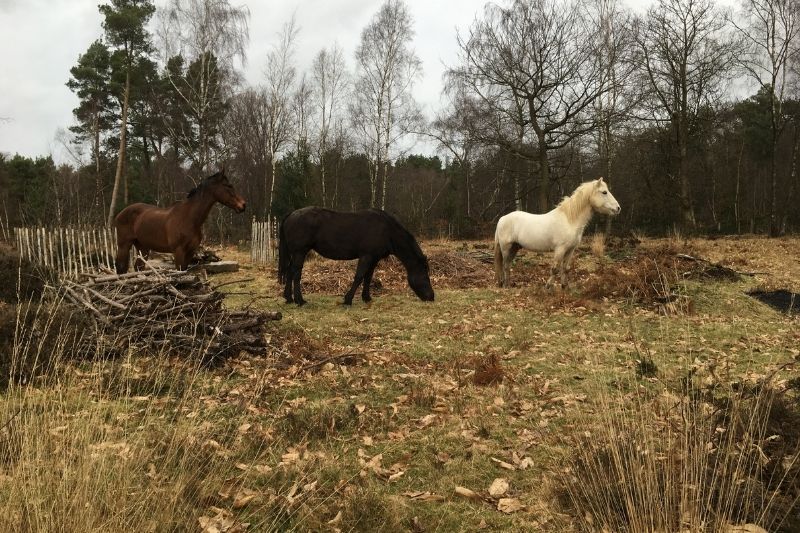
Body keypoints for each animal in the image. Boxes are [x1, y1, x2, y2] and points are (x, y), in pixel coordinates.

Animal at [112, 169, 244, 272]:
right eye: (228, 186)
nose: (243, 205)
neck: (188, 217)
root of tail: (120, 214)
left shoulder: (190, 251)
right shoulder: (179, 251)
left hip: (142, 247)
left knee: (138, 268)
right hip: (124, 246)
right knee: (121, 268)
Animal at [278, 208, 434, 308]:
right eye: (425, 276)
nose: (431, 297)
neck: (387, 231)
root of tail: (292, 214)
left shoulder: (374, 259)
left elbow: (368, 278)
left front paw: (367, 298)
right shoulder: (366, 256)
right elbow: (359, 277)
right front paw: (348, 300)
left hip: (296, 253)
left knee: (290, 272)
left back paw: (289, 298)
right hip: (300, 252)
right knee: (296, 273)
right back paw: (300, 300)